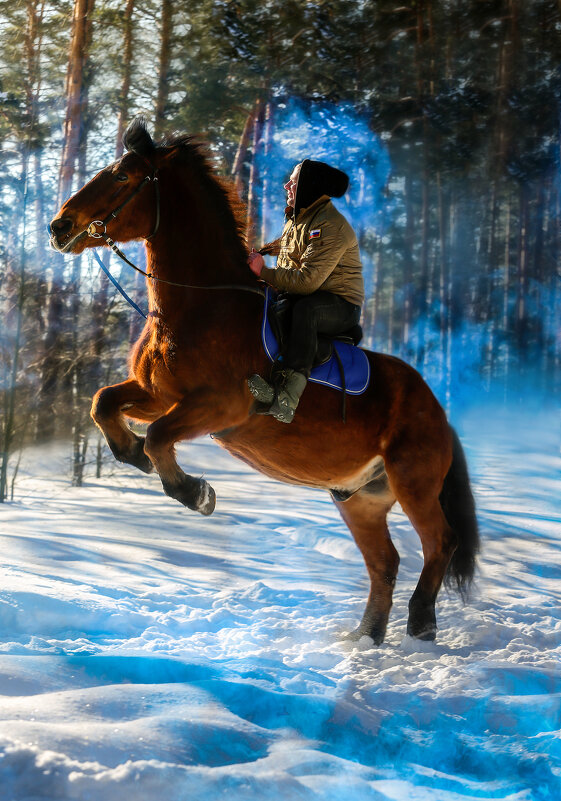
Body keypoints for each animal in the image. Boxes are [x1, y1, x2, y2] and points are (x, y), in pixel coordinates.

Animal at [49, 119, 476, 644]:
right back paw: (365, 637)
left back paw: (420, 624)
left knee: (441, 542)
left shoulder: (219, 407)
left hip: (414, 483)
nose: (59, 226)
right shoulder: (158, 394)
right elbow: (104, 403)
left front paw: (197, 494)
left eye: (124, 177)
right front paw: (132, 456)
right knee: (385, 562)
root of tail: (439, 413)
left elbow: (159, 436)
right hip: (362, 499)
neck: (200, 305)